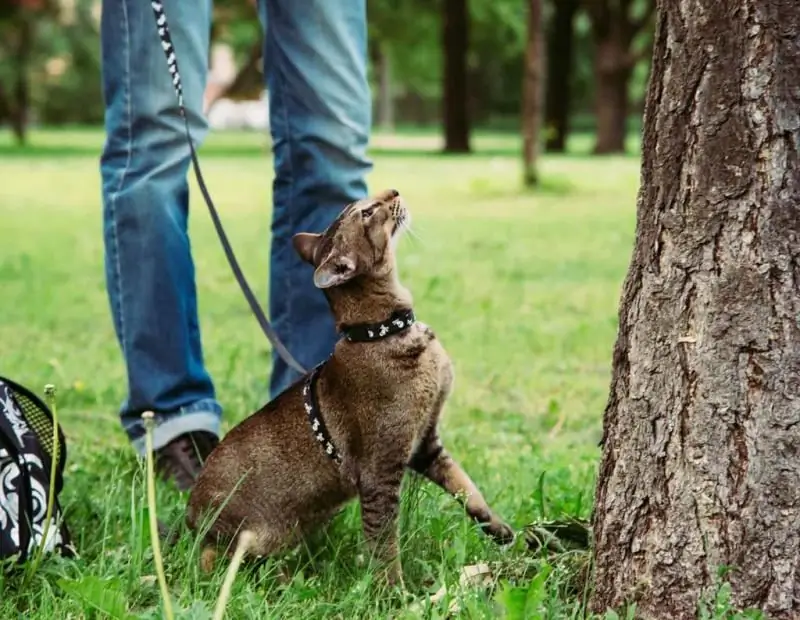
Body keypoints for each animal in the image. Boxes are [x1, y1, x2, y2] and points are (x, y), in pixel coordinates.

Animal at [185, 189, 516, 588]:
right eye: (368, 212)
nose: (393, 191)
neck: (382, 330)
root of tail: (188, 517)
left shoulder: (425, 442)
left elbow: (466, 487)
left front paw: (498, 527)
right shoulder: (380, 470)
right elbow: (383, 542)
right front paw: (394, 593)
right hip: (243, 539)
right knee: (211, 561)